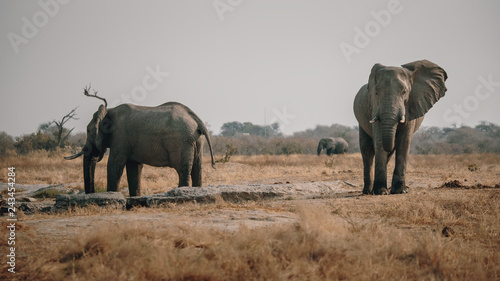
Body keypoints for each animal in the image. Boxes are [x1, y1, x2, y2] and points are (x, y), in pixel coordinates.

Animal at [64, 86, 215, 196]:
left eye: (89, 131)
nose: (92, 193)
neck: (109, 111)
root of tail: (197, 119)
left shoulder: (121, 137)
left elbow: (114, 165)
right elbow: (134, 168)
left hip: (182, 142)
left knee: (183, 171)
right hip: (196, 141)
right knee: (197, 170)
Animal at [354, 59, 448, 195]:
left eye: (404, 92)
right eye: (376, 93)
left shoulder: (410, 106)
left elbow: (404, 142)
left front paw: (400, 191)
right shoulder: (374, 107)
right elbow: (379, 141)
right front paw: (381, 192)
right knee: (367, 150)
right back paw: (367, 191)